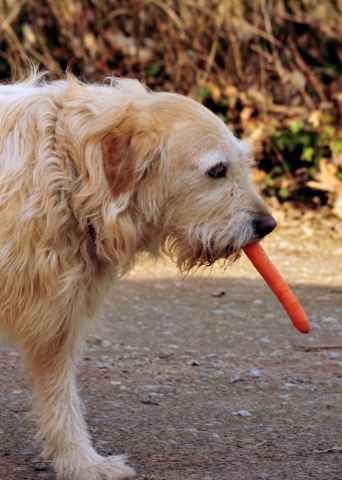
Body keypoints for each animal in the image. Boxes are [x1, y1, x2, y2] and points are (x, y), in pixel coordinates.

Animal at [0, 71, 276, 480]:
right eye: (217, 170)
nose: (268, 226)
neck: (65, 169)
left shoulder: (57, 316)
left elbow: (60, 395)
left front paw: (80, 462)